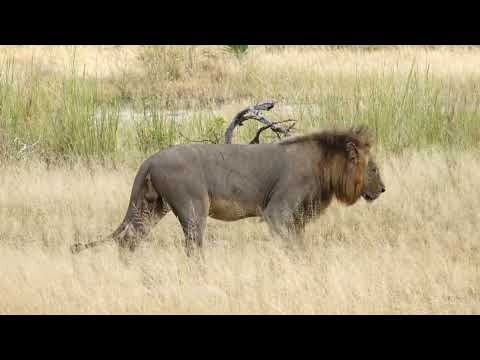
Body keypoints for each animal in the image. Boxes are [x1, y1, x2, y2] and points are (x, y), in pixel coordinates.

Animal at [71, 126, 386, 256]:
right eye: (373, 168)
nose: (383, 189)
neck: (325, 166)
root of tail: (151, 158)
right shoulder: (277, 211)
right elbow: (295, 245)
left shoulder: (295, 218)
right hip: (193, 208)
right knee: (193, 247)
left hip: (150, 206)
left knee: (128, 240)